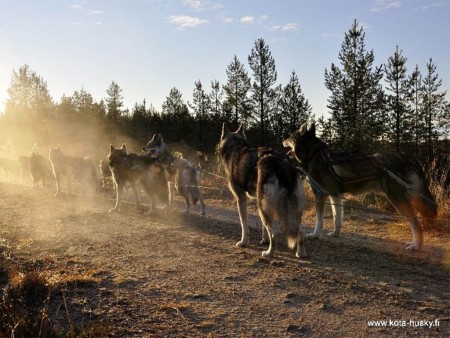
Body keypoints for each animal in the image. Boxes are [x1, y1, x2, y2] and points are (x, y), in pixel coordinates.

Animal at [216, 124, 308, 258]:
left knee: (274, 234)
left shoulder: (241, 199)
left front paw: (243, 242)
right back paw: (300, 253)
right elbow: (263, 227)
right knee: (299, 232)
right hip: (289, 210)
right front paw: (264, 240)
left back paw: (269, 253)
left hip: (265, 207)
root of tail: (282, 164)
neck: (236, 149)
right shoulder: (258, 201)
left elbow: (244, 225)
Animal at [284, 123, 436, 251]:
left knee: (416, 224)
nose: (282, 140)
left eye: (290, 136)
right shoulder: (335, 195)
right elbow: (336, 218)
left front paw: (315, 235)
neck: (314, 153)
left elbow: (319, 220)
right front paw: (335, 233)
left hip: (398, 200)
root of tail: (409, 158)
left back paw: (416, 245)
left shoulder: (321, 194)